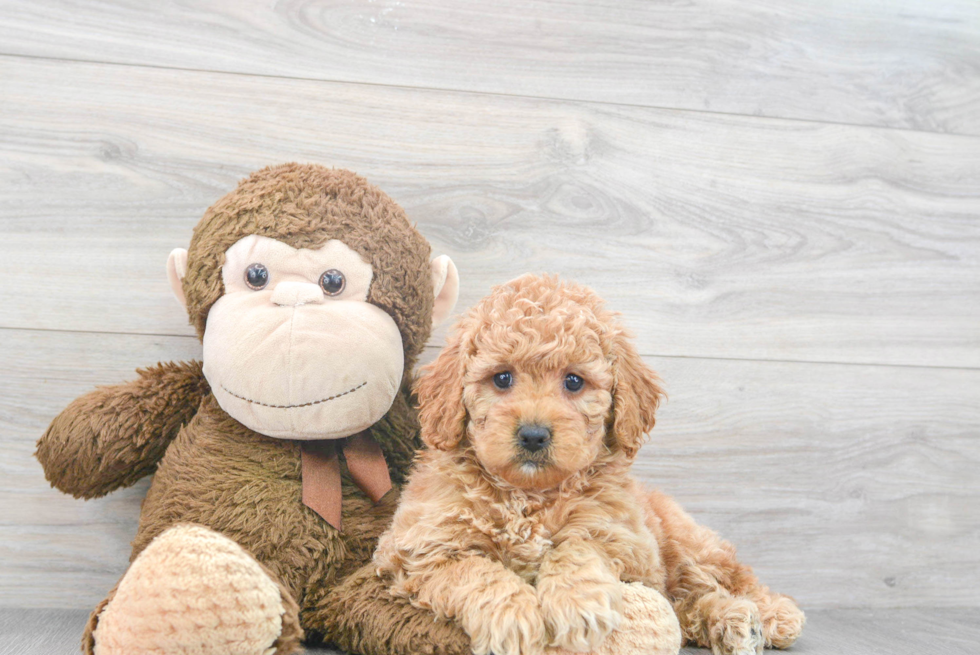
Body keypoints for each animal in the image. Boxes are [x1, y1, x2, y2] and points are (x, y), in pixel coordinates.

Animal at [376, 276, 804, 655]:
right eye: (501, 378)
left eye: (574, 382)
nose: (533, 435)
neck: (527, 497)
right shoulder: (417, 550)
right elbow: (475, 571)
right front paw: (513, 618)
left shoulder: (631, 545)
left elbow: (580, 544)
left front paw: (577, 602)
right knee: (689, 606)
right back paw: (734, 623)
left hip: (687, 543)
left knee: (727, 577)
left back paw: (772, 615)